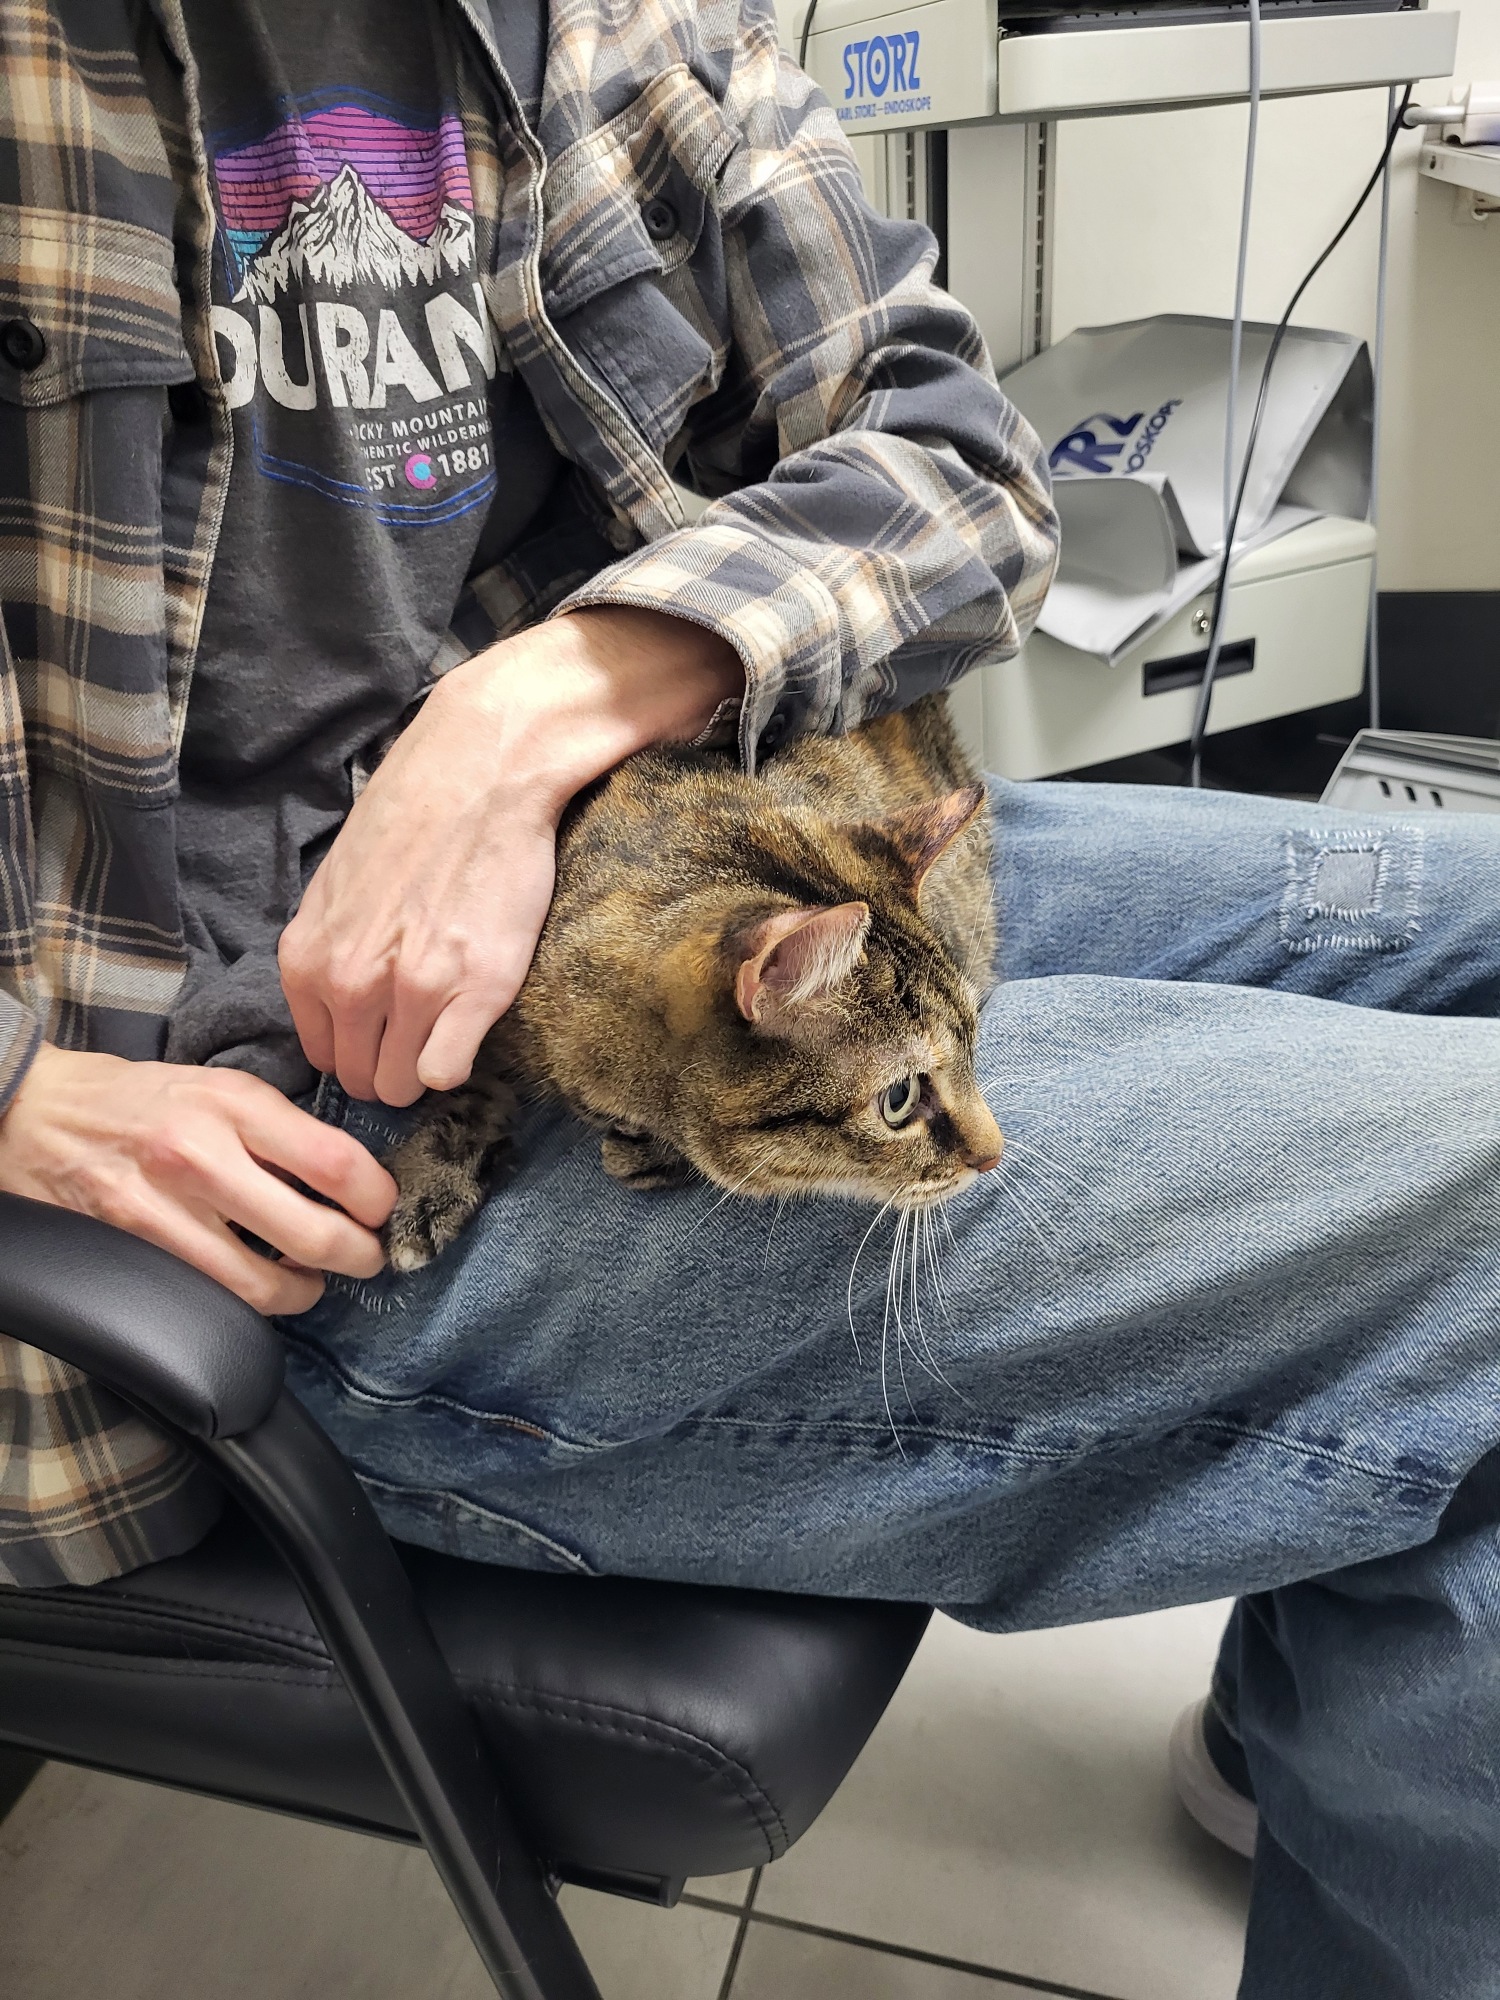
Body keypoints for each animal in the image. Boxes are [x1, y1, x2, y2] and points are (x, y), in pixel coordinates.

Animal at [381, 691, 1004, 1271]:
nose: (995, 1156)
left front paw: (645, 1156)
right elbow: (461, 1085)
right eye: (899, 1100)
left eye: (973, 1047)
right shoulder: (483, 1006)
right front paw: (428, 1186)